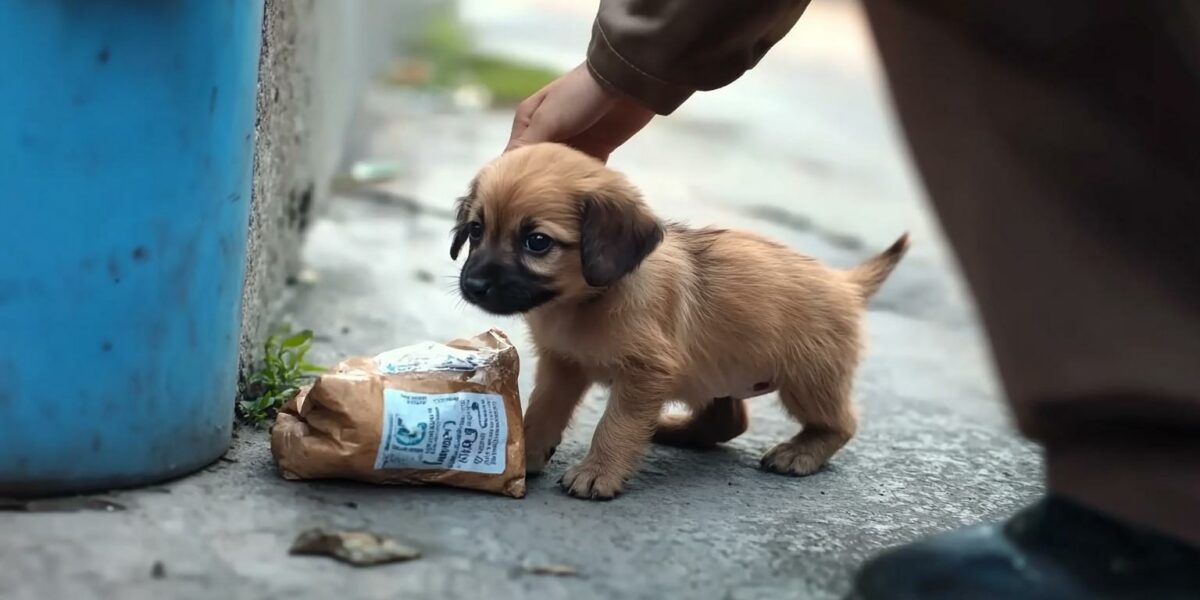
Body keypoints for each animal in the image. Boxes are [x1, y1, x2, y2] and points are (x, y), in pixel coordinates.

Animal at [453, 142, 902, 499]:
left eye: (537, 242)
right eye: (476, 230)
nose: (473, 285)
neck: (585, 302)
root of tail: (846, 283)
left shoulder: (645, 375)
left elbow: (616, 425)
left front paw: (598, 472)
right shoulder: (563, 365)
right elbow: (542, 410)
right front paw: (524, 453)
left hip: (808, 380)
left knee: (840, 424)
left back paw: (801, 452)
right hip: (712, 374)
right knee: (729, 420)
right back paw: (672, 430)